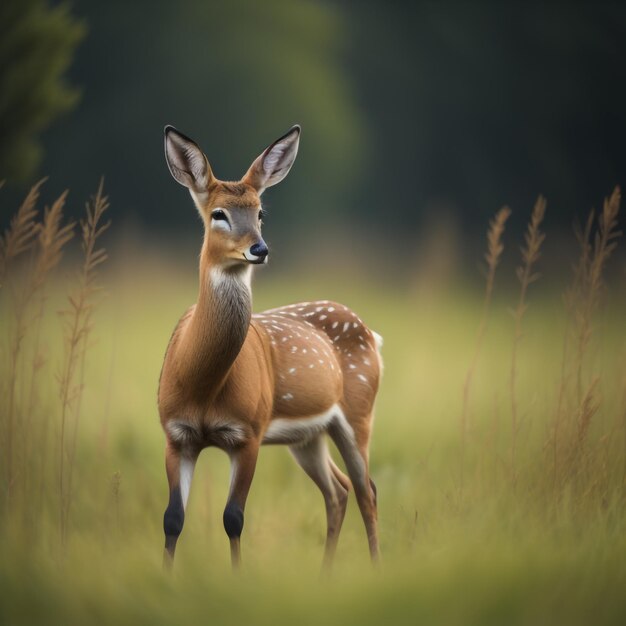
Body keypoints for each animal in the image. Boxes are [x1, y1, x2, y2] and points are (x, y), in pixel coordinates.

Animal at [157, 124, 380, 568]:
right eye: (218, 214)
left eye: (260, 213)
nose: (259, 248)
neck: (202, 386)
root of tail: (372, 332)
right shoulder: (175, 433)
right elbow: (173, 519)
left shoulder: (249, 431)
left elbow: (233, 518)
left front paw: (238, 577)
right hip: (309, 435)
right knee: (339, 489)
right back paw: (325, 573)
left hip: (358, 412)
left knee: (368, 491)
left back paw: (377, 566)